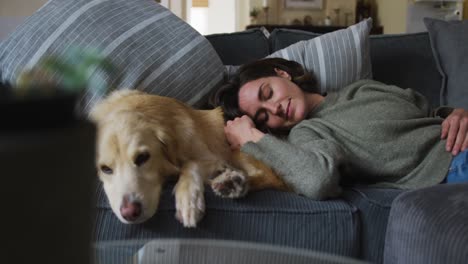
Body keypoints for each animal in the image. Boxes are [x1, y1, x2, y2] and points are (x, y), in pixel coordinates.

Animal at [88, 90, 288, 227]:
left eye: (143, 157)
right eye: (105, 169)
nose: (130, 213)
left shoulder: (212, 157)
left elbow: (190, 164)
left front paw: (189, 199)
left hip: (236, 150)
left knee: (270, 178)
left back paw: (232, 182)